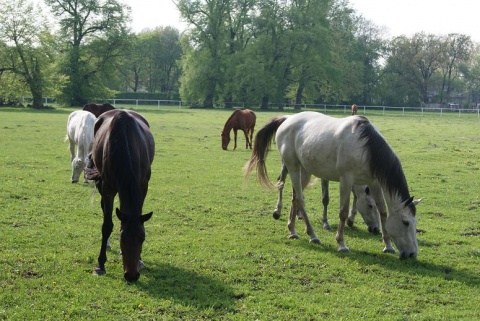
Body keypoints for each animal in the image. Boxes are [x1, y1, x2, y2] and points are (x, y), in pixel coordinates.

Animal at [85, 108, 154, 280]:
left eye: (142, 238)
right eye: (122, 239)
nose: (132, 276)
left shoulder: (143, 185)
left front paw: (140, 260)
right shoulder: (108, 187)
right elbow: (107, 225)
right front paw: (100, 265)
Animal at [246, 111, 422, 258]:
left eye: (415, 223)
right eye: (405, 222)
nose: (412, 254)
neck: (365, 147)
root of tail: (287, 119)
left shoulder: (374, 182)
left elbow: (383, 211)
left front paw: (388, 246)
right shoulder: (346, 180)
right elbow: (343, 212)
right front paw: (341, 244)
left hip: (305, 171)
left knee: (295, 197)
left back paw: (293, 231)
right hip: (293, 167)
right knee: (300, 199)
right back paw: (312, 235)